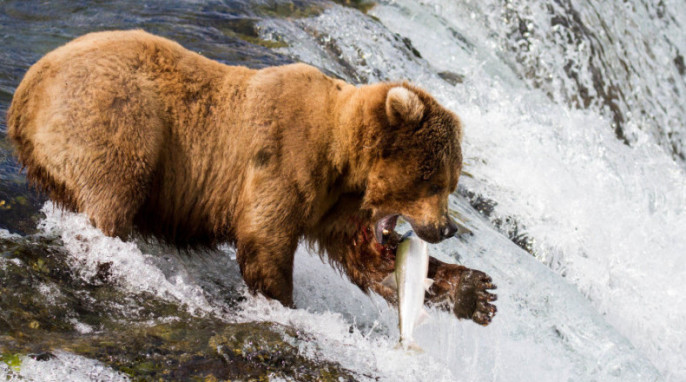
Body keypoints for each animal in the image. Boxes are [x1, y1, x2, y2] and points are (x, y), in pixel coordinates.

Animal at [8, 29, 498, 324]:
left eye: (452, 183)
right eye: (434, 182)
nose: (447, 227)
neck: (342, 158)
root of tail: (26, 90)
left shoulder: (335, 203)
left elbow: (366, 259)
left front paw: (476, 292)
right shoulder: (287, 161)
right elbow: (266, 238)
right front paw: (285, 303)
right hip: (118, 117)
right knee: (112, 192)